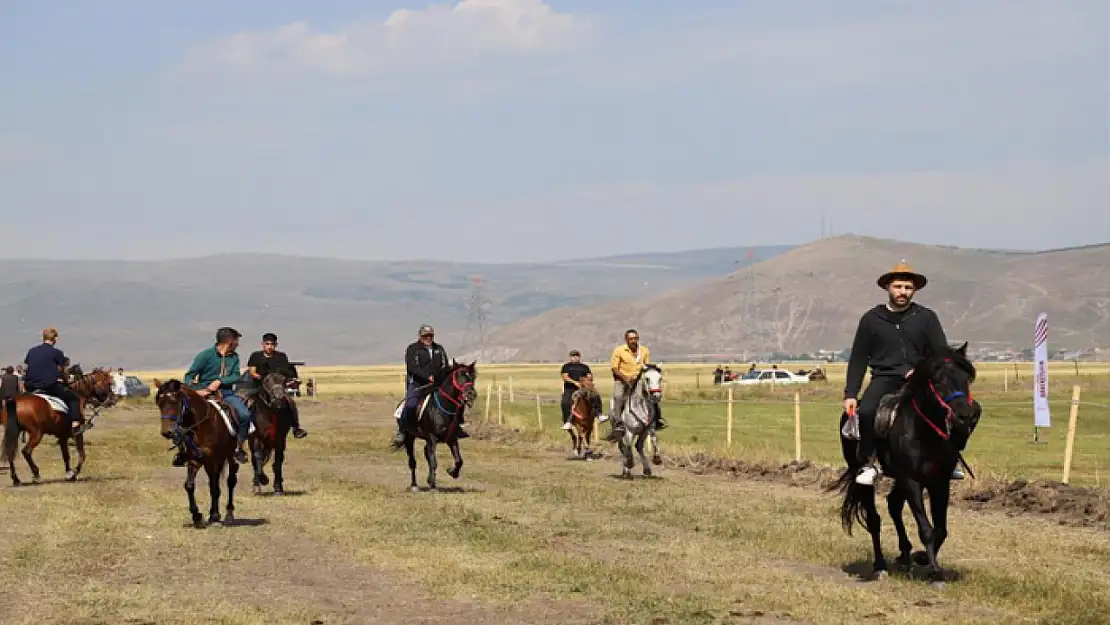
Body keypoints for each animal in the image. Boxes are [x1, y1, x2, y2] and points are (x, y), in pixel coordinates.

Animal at [154, 379, 240, 530]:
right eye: (159, 403)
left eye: (174, 402)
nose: (166, 432)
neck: (202, 425)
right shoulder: (195, 459)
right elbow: (189, 485)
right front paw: (197, 517)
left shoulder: (212, 458)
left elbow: (216, 486)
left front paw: (212, 516)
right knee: (214, 484)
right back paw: (214, 514)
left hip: (229, 457)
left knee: (230, 481)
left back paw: (228, 514)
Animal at [399, 361, 477, 495]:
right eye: (459, 376)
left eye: (472, 377)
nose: (471, 394)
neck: (442, 409)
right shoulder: (432, 438)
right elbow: (433, 462)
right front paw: (433, 486)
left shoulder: (452, 439)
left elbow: (459, 460)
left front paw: (452, 472)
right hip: (410, 437)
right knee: (412, 462)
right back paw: (414, 485)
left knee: (426, 453)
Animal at [834, 341, 985, 586]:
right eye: (937, 380)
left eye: (967, 378)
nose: (965, 416)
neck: (924, 433)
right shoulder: (912, 480)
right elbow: (926, 528)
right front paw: (935, 572)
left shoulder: (939, 482)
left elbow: (941, 530)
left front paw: (922, 557)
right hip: (867, 477)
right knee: (874, 519)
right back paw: (880, 566)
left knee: (893, 504)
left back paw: (905, 555)